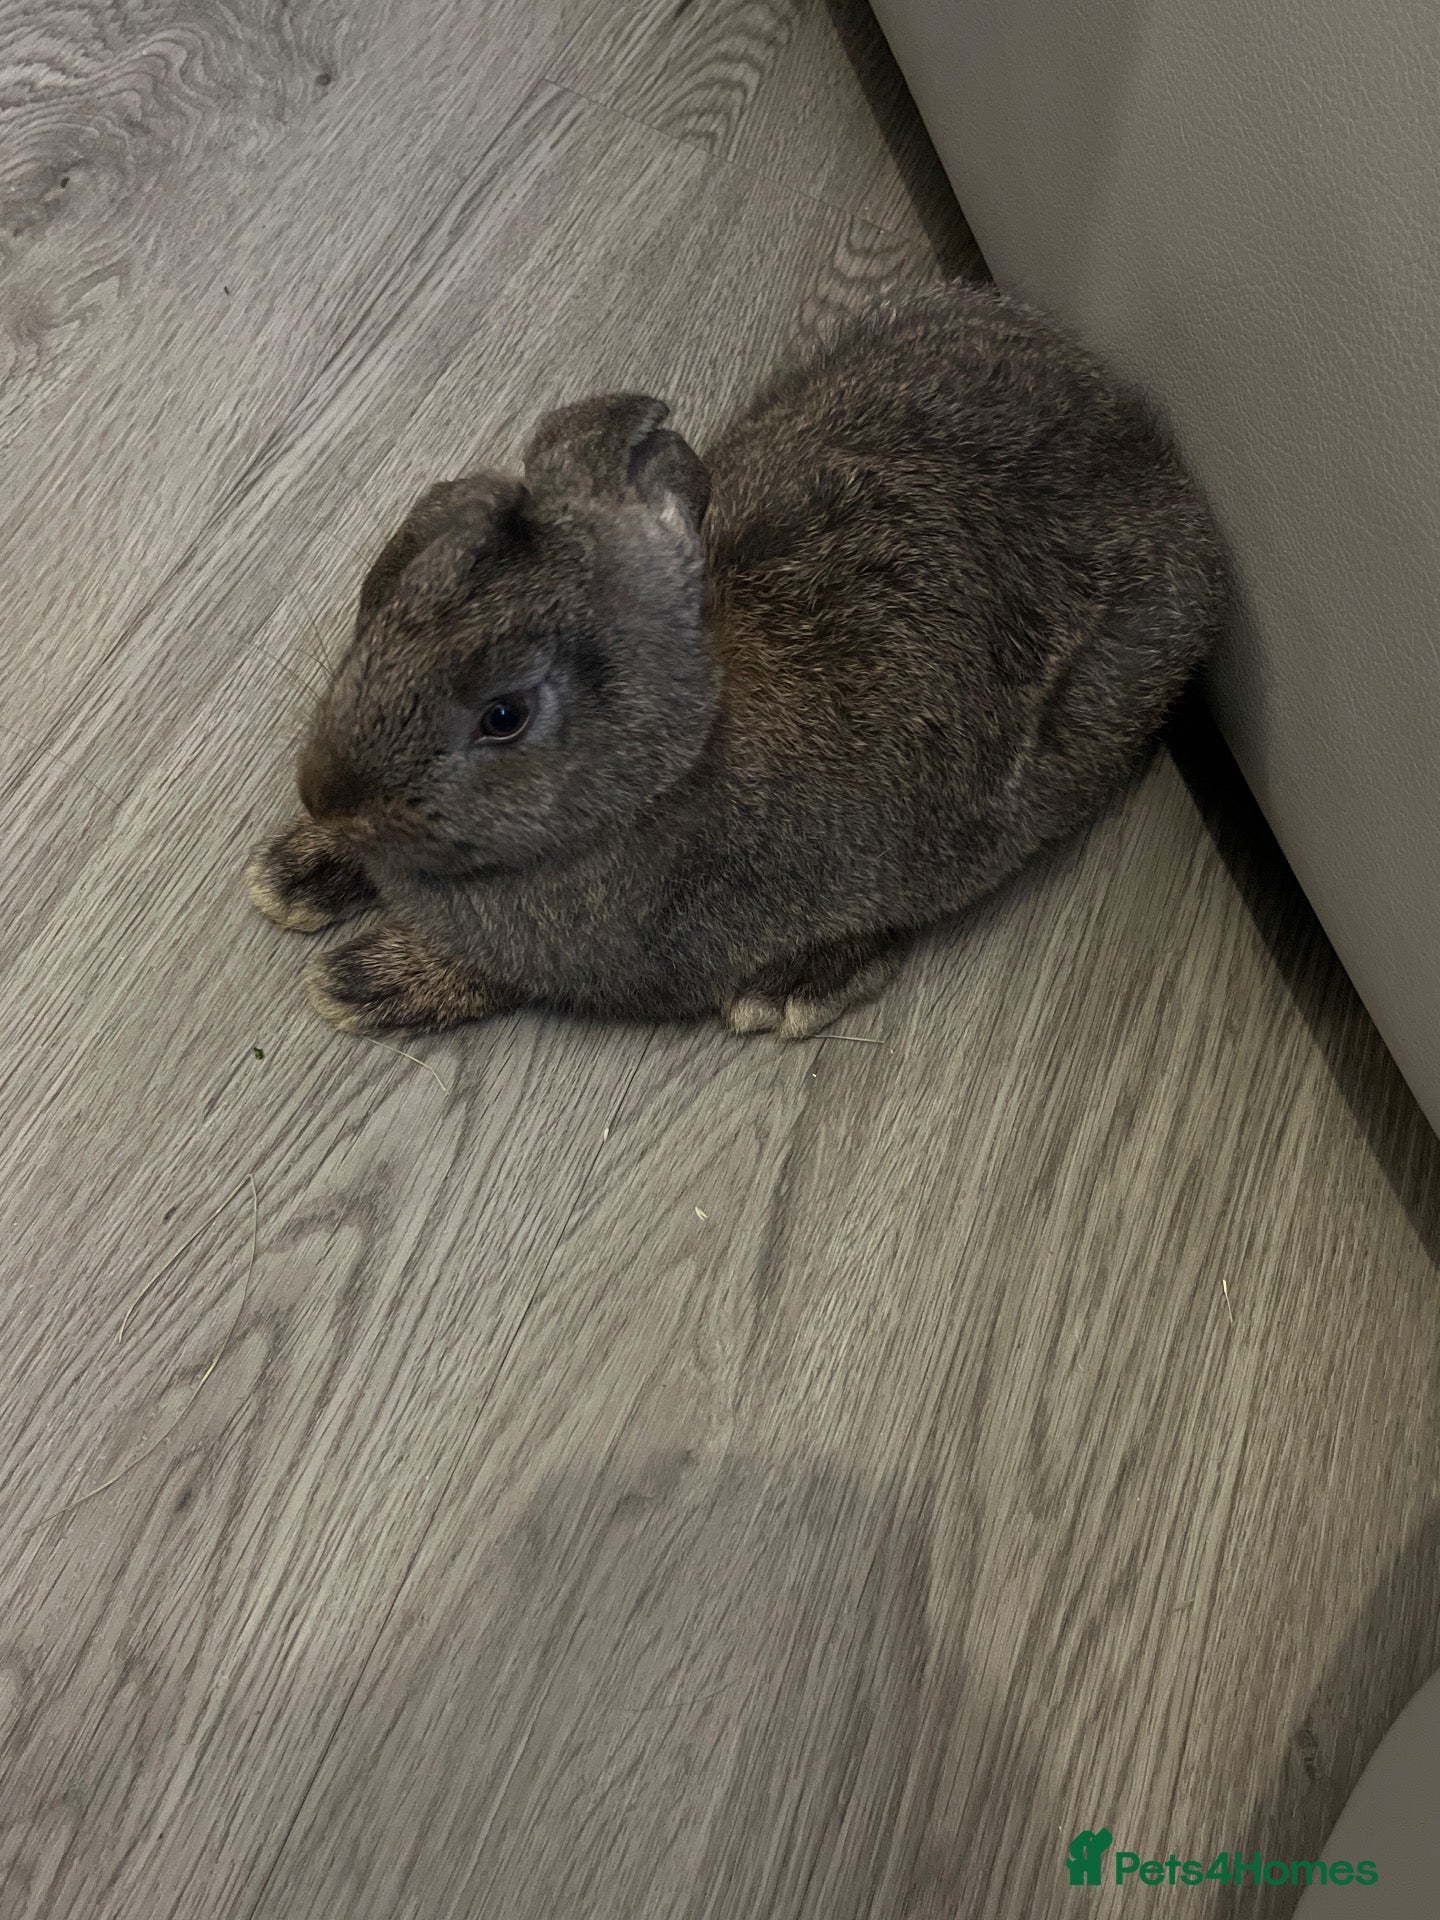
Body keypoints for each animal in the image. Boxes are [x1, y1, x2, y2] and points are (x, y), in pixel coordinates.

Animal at [245, 278, 1227, 1041]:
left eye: (505, 716)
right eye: (387, 581)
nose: (326, 795)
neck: (661, 770)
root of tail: (1156, 447)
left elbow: (495, 972)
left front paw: (358, 983)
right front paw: (293, 875)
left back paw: (792, 989)